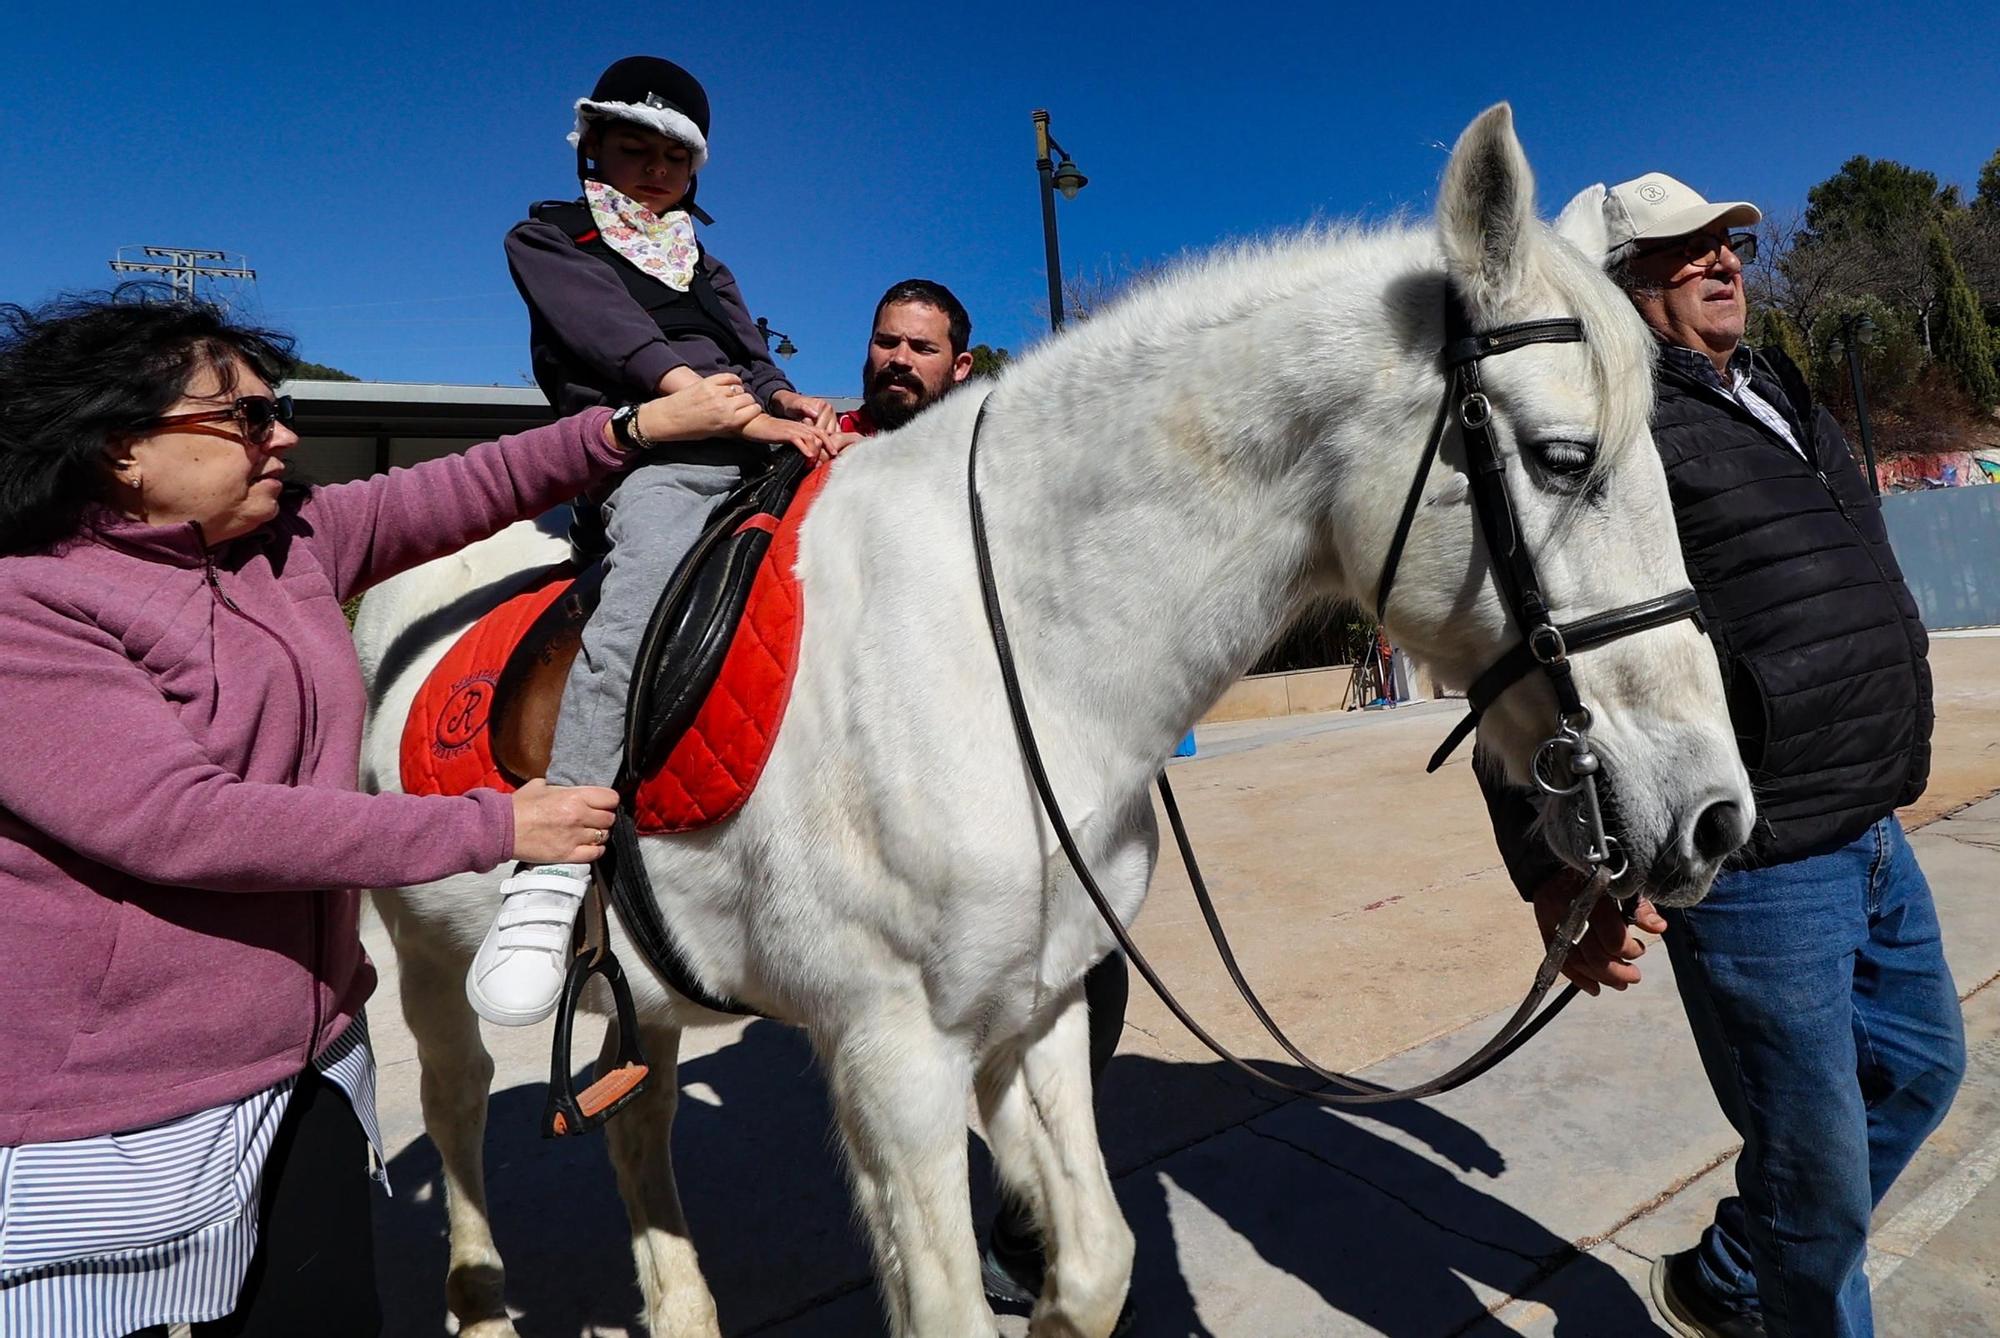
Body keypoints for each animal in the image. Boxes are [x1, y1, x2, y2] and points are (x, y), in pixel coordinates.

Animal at [356, 107, 1752, 1336]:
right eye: (1563, 458)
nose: (1713, 815)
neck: (1006, 651)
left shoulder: (1040, 1005)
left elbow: (1091, 1265)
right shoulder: (893, 1061)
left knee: (636, 1117)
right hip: (424, 959)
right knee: (459, 1103)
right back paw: (478, 1299)